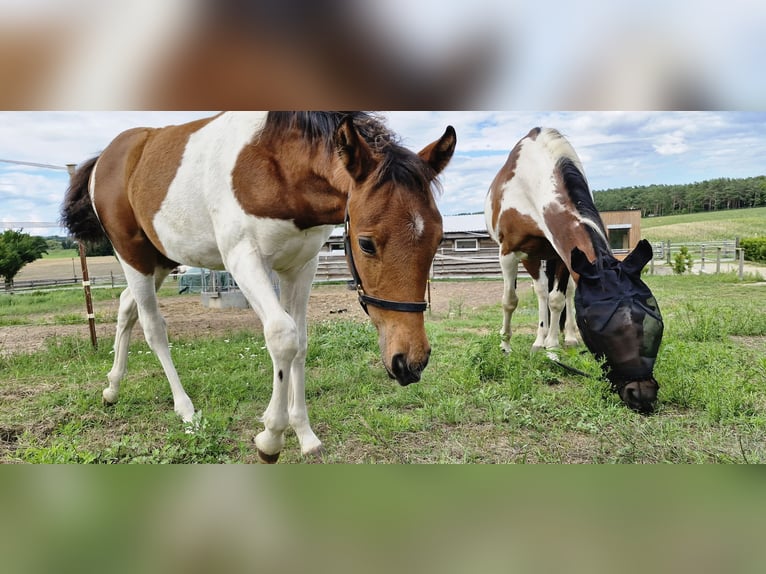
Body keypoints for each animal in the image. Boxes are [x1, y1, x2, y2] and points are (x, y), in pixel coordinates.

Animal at [61, 112, 456, 462]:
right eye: (366, 243)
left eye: (438, 240)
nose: (410, 363)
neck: (277, 164)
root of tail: (107, 156)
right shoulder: (244, 258)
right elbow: (283, 336)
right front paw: (271, 437)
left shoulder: (301, 266)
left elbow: (301, 343)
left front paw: (304, 434)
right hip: (133, 256)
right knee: (153, 327)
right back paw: (186, 411)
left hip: (160, 260)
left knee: (127, 306)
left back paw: (112, 388)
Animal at [484, 127, 664, 413]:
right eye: (593, 324)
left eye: (655, 320)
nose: (641, 393)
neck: (533, 182)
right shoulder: (511, 252)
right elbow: (510, 301)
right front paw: (506, 346)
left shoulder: (563, 255)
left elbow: (558, 300)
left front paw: (554, 349)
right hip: (532, 258)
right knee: (539, 291)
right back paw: (538, 340)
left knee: (561, 293)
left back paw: (563, 337)